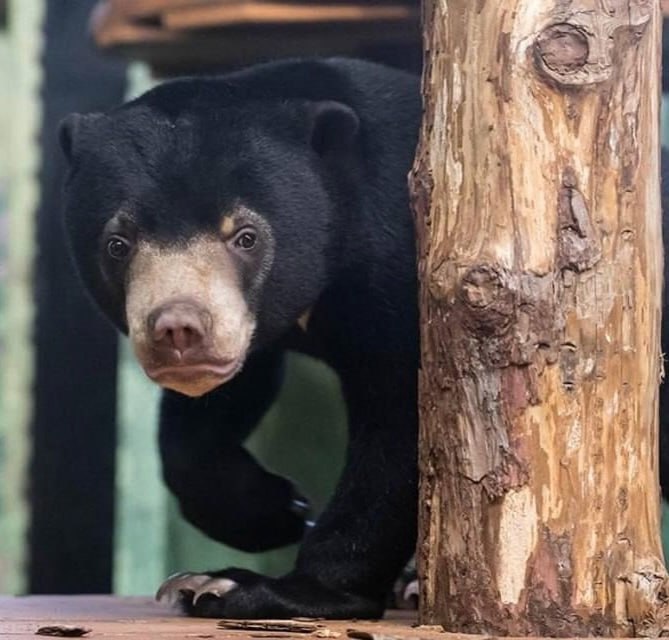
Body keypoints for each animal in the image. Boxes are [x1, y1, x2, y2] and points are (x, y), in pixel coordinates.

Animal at [60, 58, 420, 620]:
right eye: (118, 243)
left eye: (245, 237)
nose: (177, 328)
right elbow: (211, 413)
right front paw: (274, 509)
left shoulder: (398, 274)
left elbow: (399, 427)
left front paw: (248, 588)